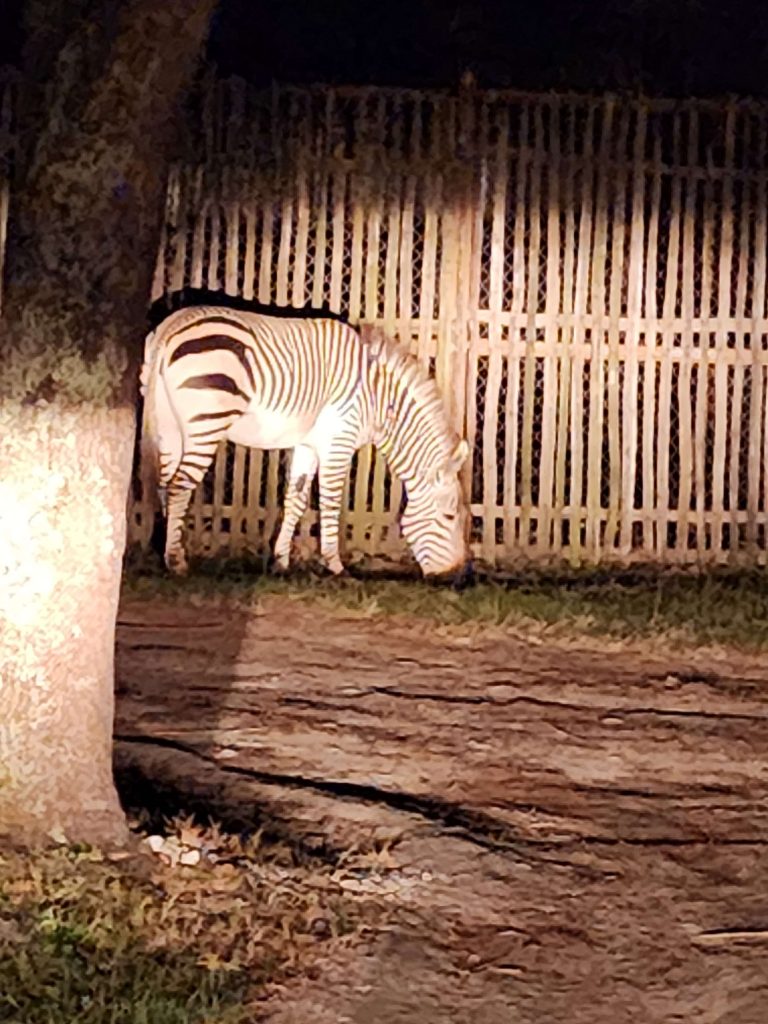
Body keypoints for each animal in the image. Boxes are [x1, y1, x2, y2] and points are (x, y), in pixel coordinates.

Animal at [140, 303, 473, 577]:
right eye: (449, 516)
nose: (454, 575)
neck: (378, 398)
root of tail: (173, 323)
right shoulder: (339, 442)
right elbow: (330, 503)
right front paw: (335, 566)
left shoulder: (309, 444)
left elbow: (296, 499)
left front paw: (281, 562)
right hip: (206, 423)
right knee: (179, 486)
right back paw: (176, 562)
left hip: (170, 427)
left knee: (164, 484)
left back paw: (166, 550)